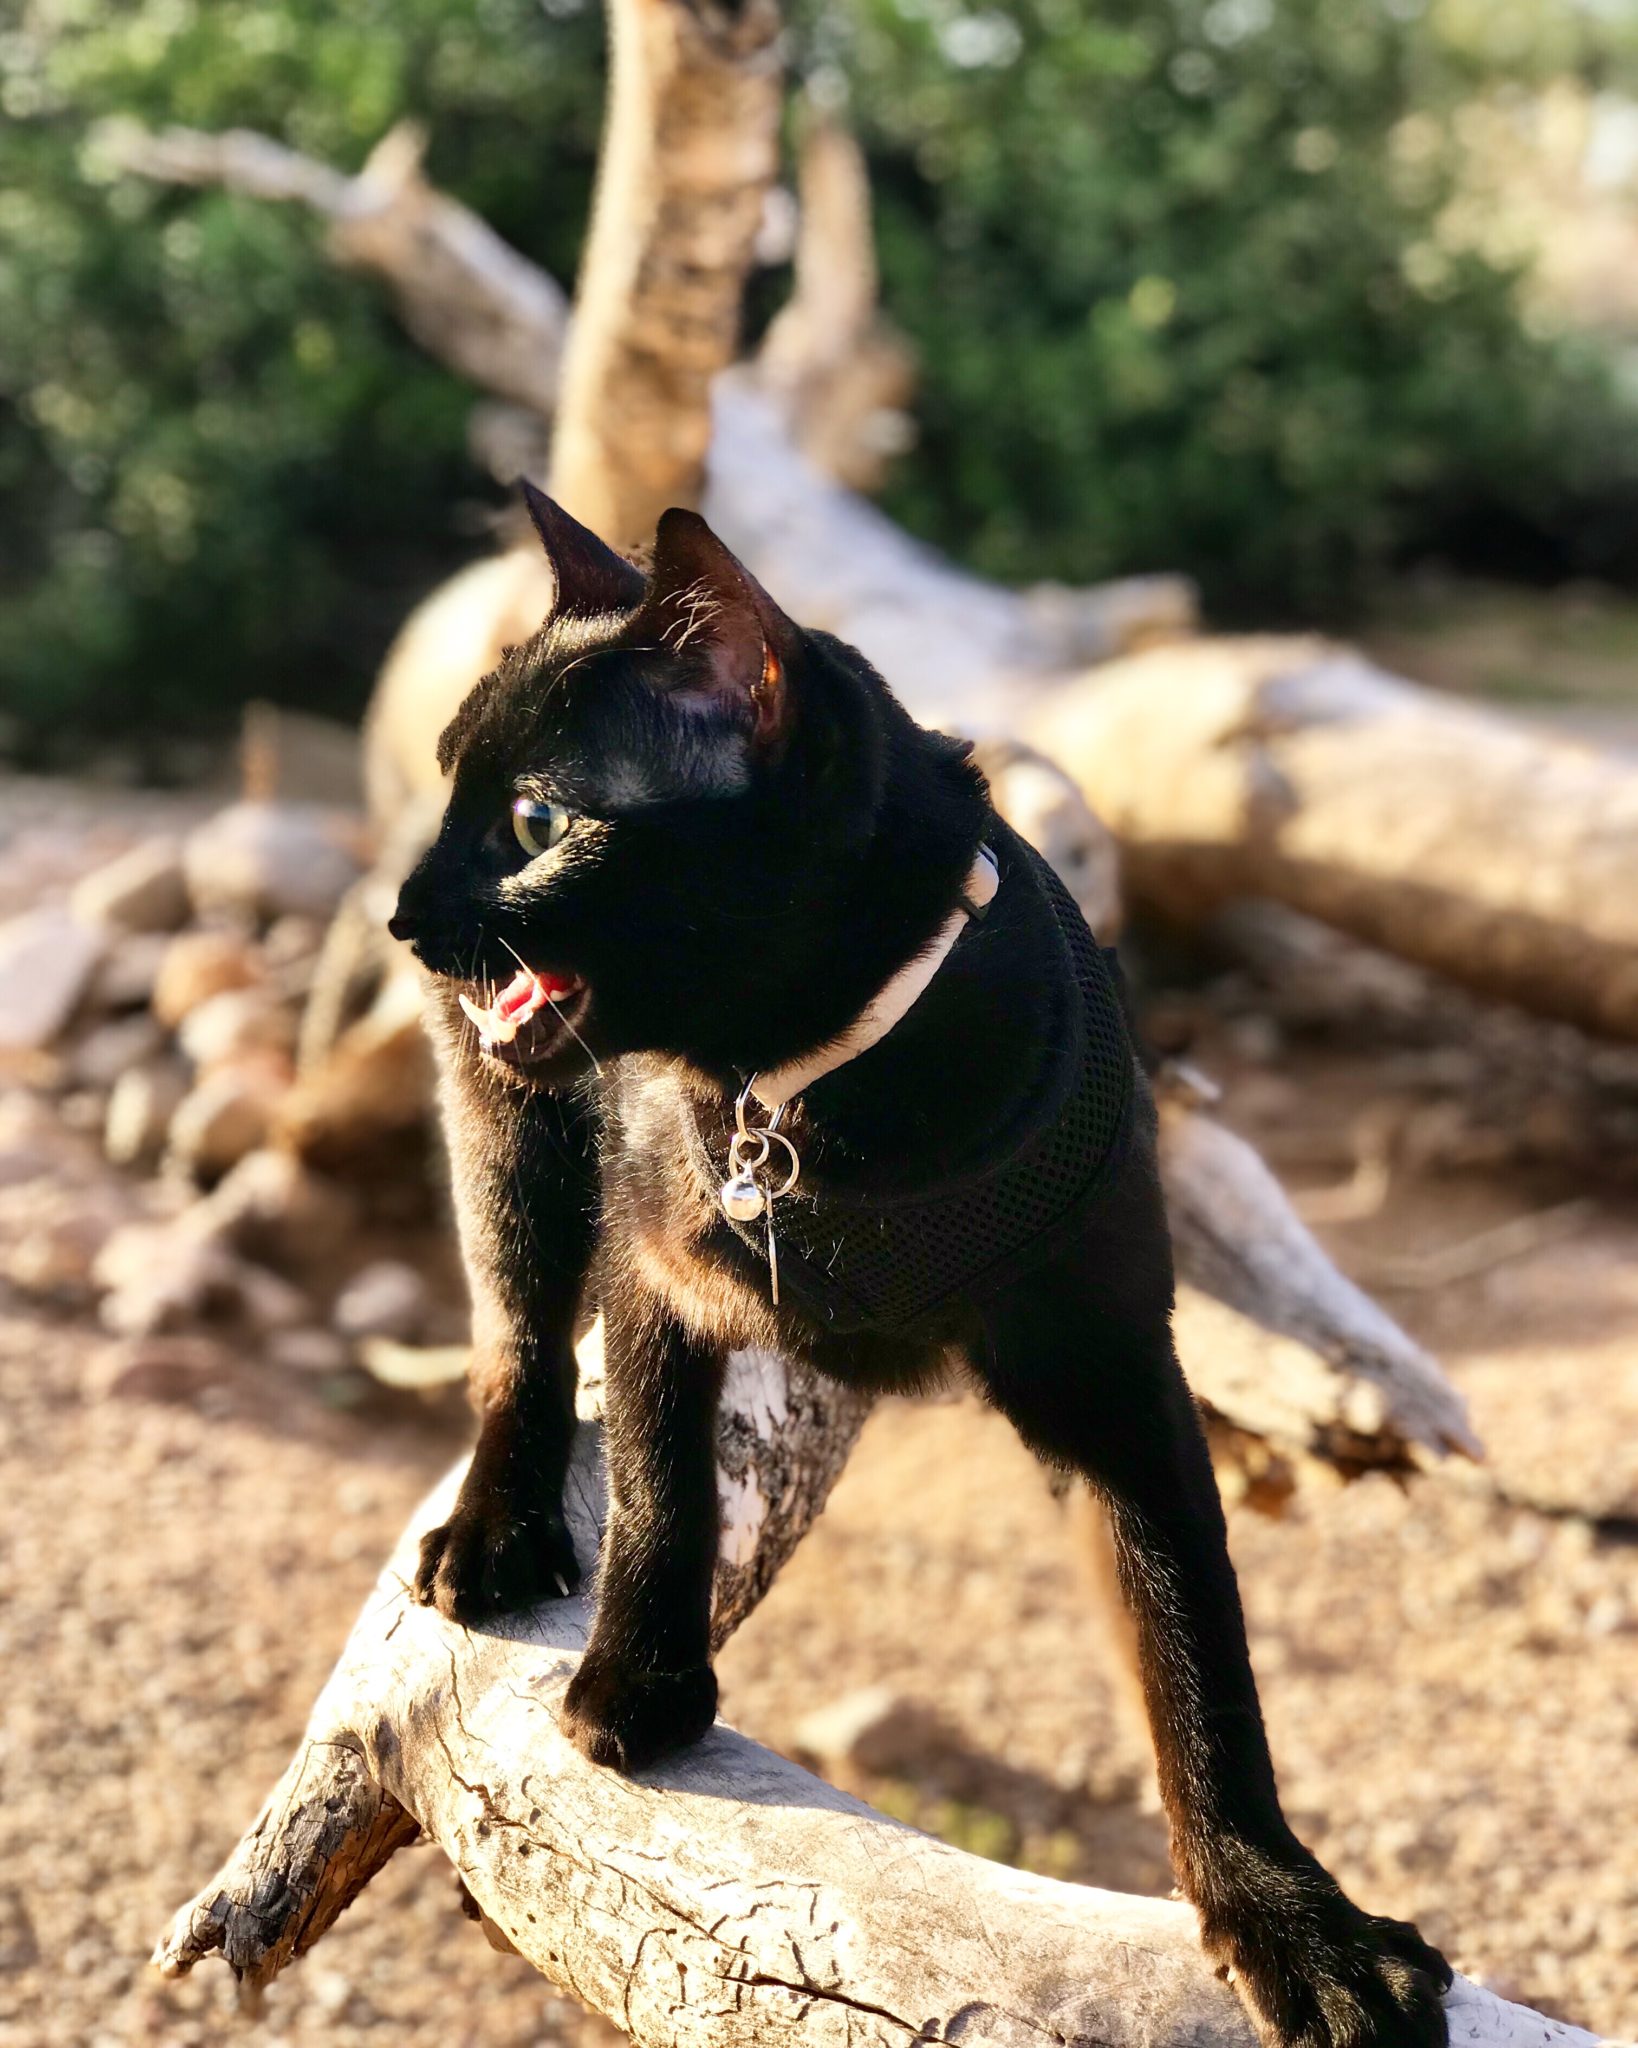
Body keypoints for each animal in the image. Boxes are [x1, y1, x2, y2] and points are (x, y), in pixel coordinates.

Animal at [391, 483, 1449, 2048]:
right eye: (454, 790)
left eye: (531, 822)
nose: (402, 908)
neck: (819, 1100)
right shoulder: (657, 1275)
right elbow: (658, 1482)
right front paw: (638, 1677)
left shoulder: (1117, 1375)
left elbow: (1197, 1655)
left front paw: (1286, 1918)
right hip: (509, 1138)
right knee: (516, 1341)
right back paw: (493, 1530)